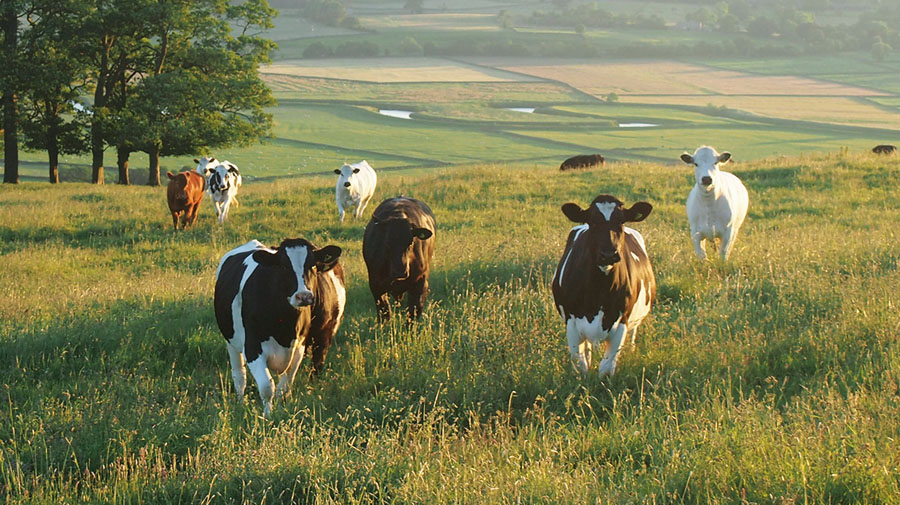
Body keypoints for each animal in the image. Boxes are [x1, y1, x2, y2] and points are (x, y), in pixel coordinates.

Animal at [213, 238, 346, 416]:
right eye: (283, 266)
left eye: (312, 265)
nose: (304, 296)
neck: (285, 327)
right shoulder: (252, 347)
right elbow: (267, 387)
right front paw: (267, 415)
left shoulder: (300, 347)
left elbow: (284, 387)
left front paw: (281, 411)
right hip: (231, 342)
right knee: (239, 376)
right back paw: (241, 404)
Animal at [548, 193, 652, 378]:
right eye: (593, 222)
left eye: (621, 222)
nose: (609, 254)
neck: (599, 290)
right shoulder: (571, 322)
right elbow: (580, 365)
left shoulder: (622, 322)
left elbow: (606, 369)